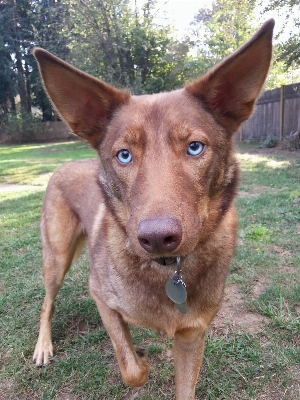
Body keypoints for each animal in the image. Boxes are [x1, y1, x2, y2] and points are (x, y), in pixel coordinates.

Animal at [32, 19, 274, 400]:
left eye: (194, 147)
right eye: (124, 155)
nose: (157, 238)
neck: (167, 271)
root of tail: (61, 167)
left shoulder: (192, 335)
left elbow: (181, 386)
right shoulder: (101, 296)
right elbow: (132, 368)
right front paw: (139, 356)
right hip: (56, 259)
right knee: (47, 301)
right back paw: (43, 346)